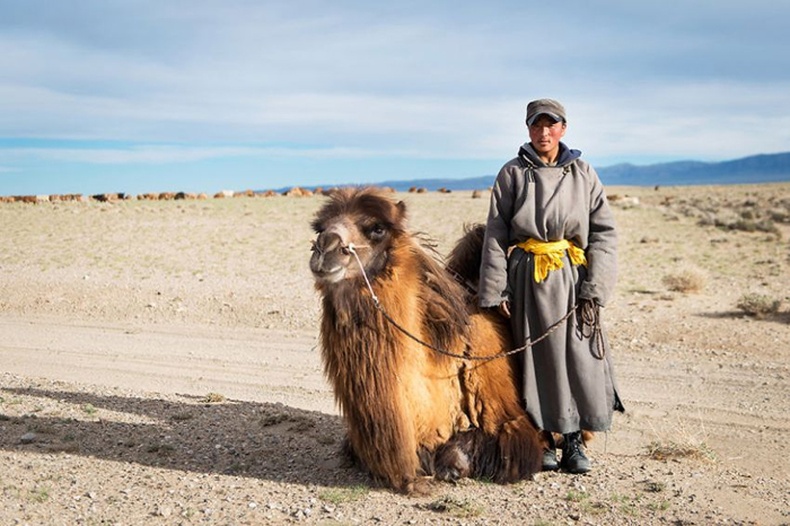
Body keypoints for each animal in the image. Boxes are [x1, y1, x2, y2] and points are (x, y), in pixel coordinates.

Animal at [310, 187, 544, 496]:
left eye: (377, 228)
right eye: (319, 229)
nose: (324, 248)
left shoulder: (510, 424)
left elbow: (459, 455)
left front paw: (450, 468)